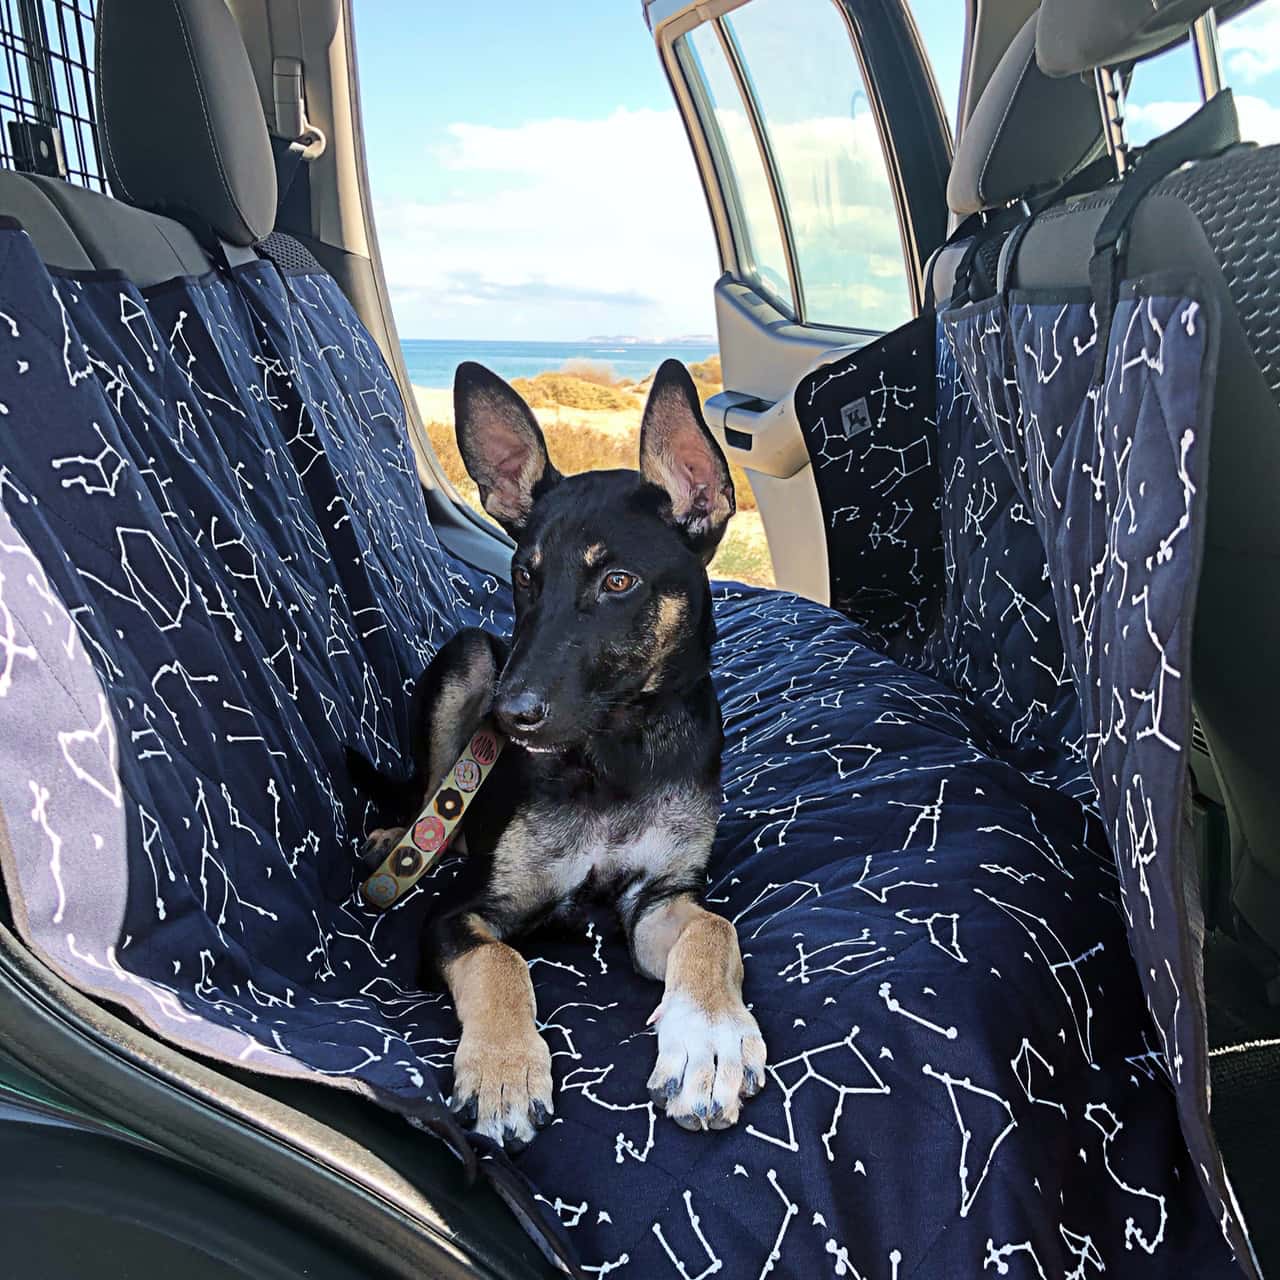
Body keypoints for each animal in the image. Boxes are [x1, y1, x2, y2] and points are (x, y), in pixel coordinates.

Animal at [350, 358, 762, 1152]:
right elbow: (499, 961)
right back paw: (402, 835)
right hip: (470, 657)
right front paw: (505, 1071)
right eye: (524, 577)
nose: (510, 716)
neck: (615, 751)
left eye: (618, 582)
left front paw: (709, 1040)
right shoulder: (461, 915)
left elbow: (712, 930)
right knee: (431, 797)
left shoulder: (658, 900)